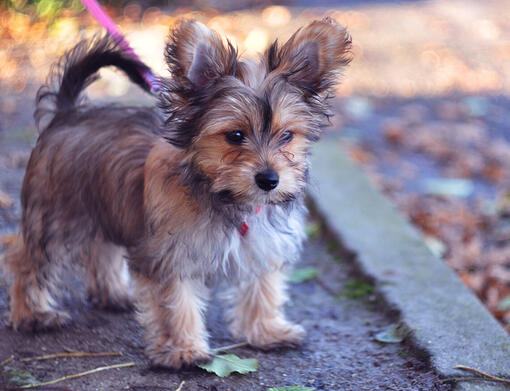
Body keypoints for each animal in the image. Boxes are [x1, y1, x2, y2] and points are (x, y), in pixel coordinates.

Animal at [1, 16, 350, 370]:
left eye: (287, 135)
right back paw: (33, 313)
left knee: (102, 250)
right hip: (56, 217)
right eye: (235, 135)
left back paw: (113, 293)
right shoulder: (170, 255)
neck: (224, 195)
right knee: (27, 259)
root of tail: (67, 113)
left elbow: (262, 288)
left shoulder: (262, 245)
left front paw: (266, 330)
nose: (269, 179)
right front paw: (182, 349)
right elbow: (175, 303)